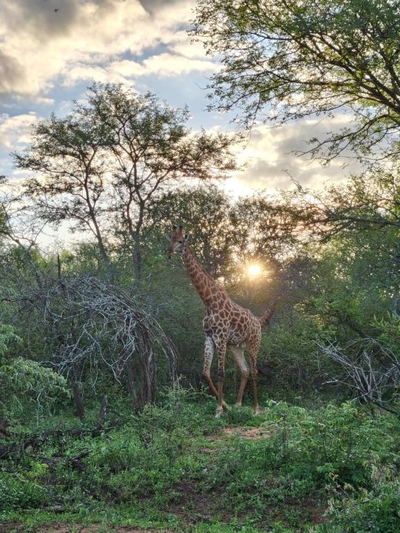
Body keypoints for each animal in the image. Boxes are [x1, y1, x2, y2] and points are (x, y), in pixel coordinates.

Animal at [166, 224, 276, 416]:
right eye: (169, 238)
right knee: (245, 370)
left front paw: (218, 410)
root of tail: (257, 320)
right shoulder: (209, 337)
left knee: (255, 371)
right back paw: (238, 405)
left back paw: (256, 409)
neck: (209, 302)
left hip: (253, 343)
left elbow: (220, 373)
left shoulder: (221, 337)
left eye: (180, 241)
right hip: (236, 347)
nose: (168, 251)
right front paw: (225, 405)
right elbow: (205, 372)